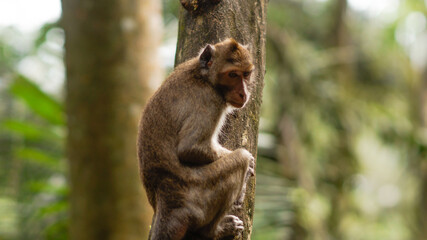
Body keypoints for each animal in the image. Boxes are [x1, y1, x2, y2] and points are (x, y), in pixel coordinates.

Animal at [139, 38, 256, 239]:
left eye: (246, 74)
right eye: (232, 74)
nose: (243, 93)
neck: (204, 77)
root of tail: (167, 201)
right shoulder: (210, 100)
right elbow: (190, 149)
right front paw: (249, 163)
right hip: (202, 197)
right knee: (239, 159)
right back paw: (215, 230)